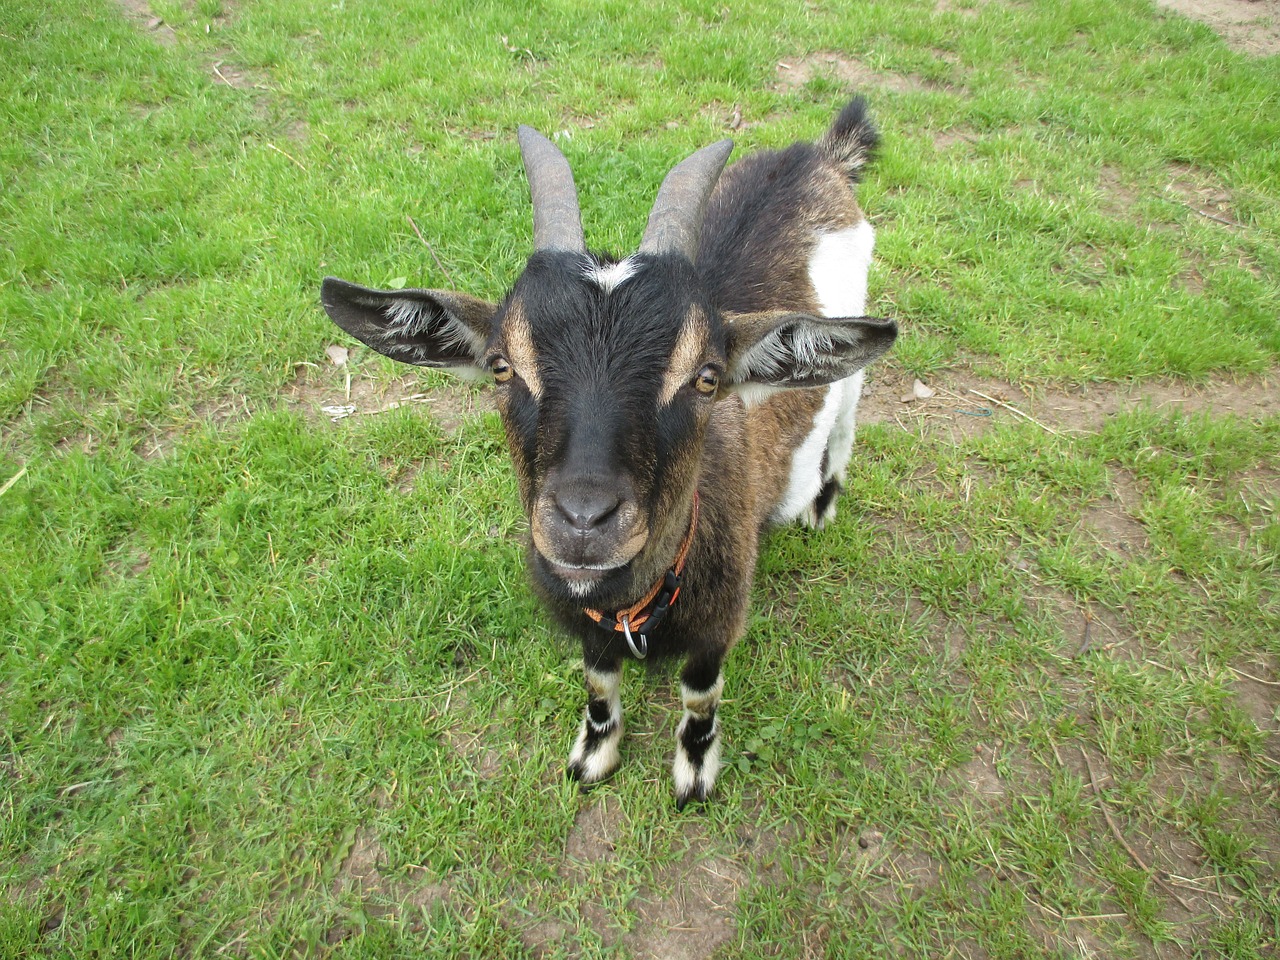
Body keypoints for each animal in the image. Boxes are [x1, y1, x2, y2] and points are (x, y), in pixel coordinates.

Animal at [325, 97, 896, 808]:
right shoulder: (587, 624)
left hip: (851, 369)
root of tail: (817, 156)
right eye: (500, 368)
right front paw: (594, 755)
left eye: (707, 378)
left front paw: (694, 772)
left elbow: (699, 696)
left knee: (844, 422)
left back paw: (822, 506)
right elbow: (599, 684)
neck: (635, 603)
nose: (584, 522)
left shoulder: (720, 623)